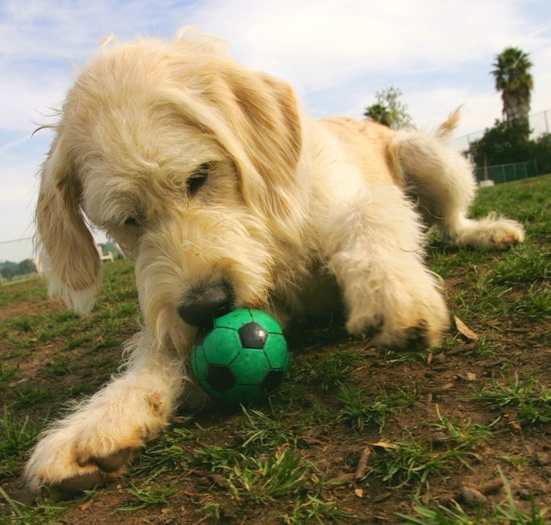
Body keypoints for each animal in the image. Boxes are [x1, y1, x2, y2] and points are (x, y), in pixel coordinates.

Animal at [27, 26, 528, 494]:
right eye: (127, 220)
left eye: (198, 176)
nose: (206, 307)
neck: (269, 233)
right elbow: (159, 347)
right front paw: (102, 417)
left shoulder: (350, 202)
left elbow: (372, 213)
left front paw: (390, 288)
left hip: (421, 154)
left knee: (451, 219)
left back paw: (485, 231)